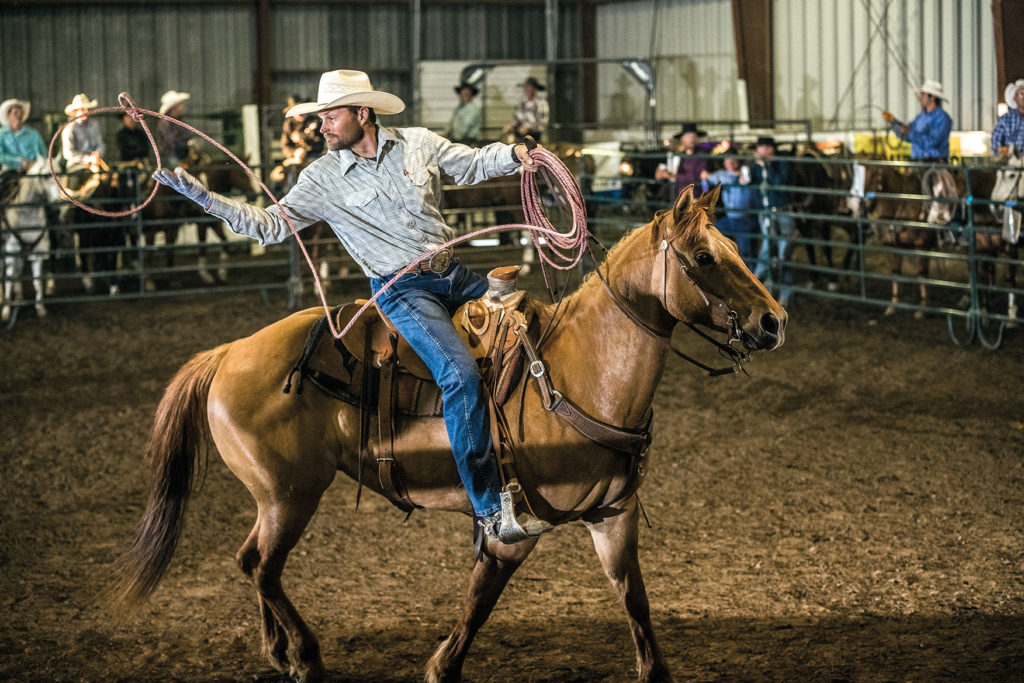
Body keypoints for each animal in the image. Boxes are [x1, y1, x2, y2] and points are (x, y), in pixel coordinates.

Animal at [110, 184, 782, 679]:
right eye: (704, 258)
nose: (773, 321)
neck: (577, 373)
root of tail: (229, 353)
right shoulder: (513, 530)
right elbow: (477, 605)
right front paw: (439, 665)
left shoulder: (614, 515)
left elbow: (636, 604)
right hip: (290, 495)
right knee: (262, 566)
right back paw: (305, 657)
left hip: (276, 497)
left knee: (252, 561)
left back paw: (279, 652)